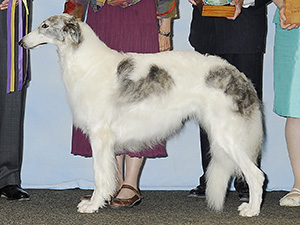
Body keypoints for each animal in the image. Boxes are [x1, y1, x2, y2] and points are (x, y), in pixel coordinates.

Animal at [19, 13, 264, 216]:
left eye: (44, 26)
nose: (21, 42)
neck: (88, 63)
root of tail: (238, 75)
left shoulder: (100, 135)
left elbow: (100, 176)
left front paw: (93, 205)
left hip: (227, 136)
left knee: (257, 175)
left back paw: (252, 209)